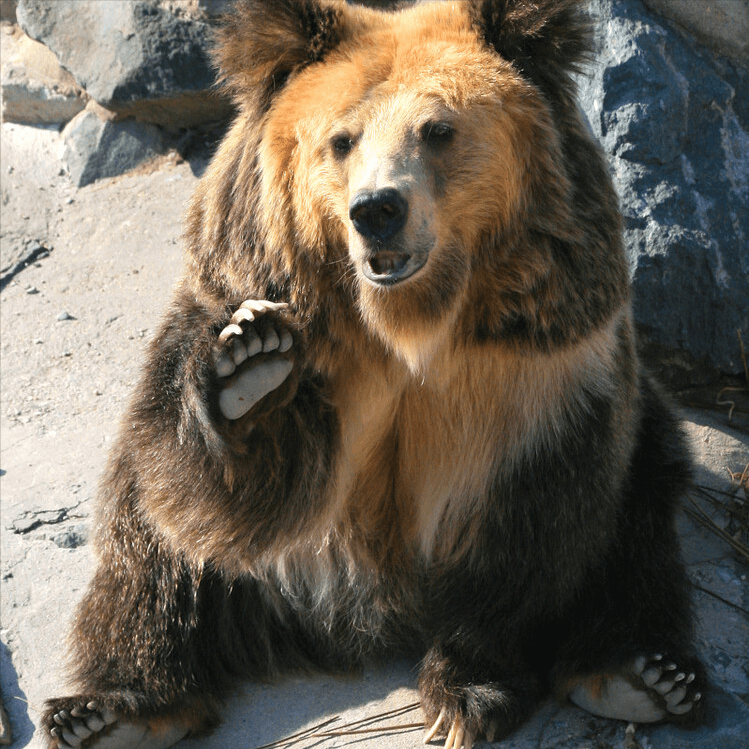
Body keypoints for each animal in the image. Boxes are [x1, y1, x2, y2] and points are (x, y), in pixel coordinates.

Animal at [43, 1, 704, 748]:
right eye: (341, 139)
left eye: (438, 130)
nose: (377, 211)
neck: (408, 321)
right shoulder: (265, 306)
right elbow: (209, 495)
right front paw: (250, 370)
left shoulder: (542, 365)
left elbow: (529, 515)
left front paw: (465, 694)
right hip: (261, 576)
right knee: (146, 548)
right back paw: (112, 708)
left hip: (643, 443)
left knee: (641, 530)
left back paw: (640, 675)